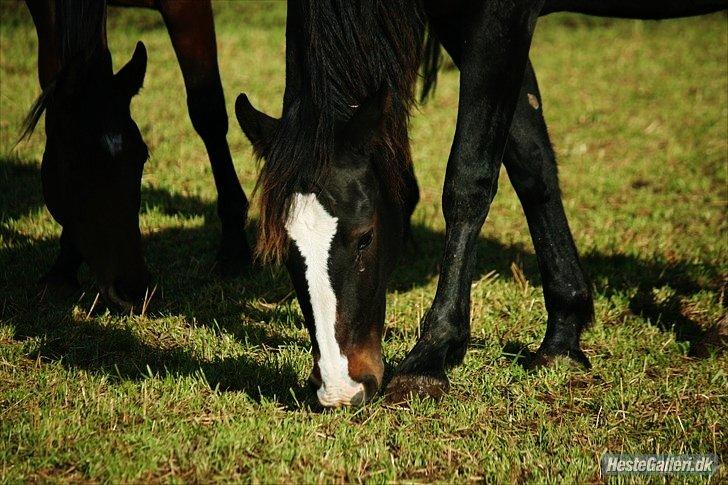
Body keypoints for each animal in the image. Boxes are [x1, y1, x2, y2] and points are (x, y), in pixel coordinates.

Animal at [22, 0, 252, 310]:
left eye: (143, 157)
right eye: (72, 165)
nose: (131, 289)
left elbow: (208, 112)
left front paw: (234, 248)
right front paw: (62, 269)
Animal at [236, 0, 724, 406]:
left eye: (365, 237)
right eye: (284, 248)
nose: (339, 389)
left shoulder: (500, 19)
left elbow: (469, 178)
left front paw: (430, 358)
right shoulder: (464, 23)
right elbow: (531, 164)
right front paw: (562, 338)